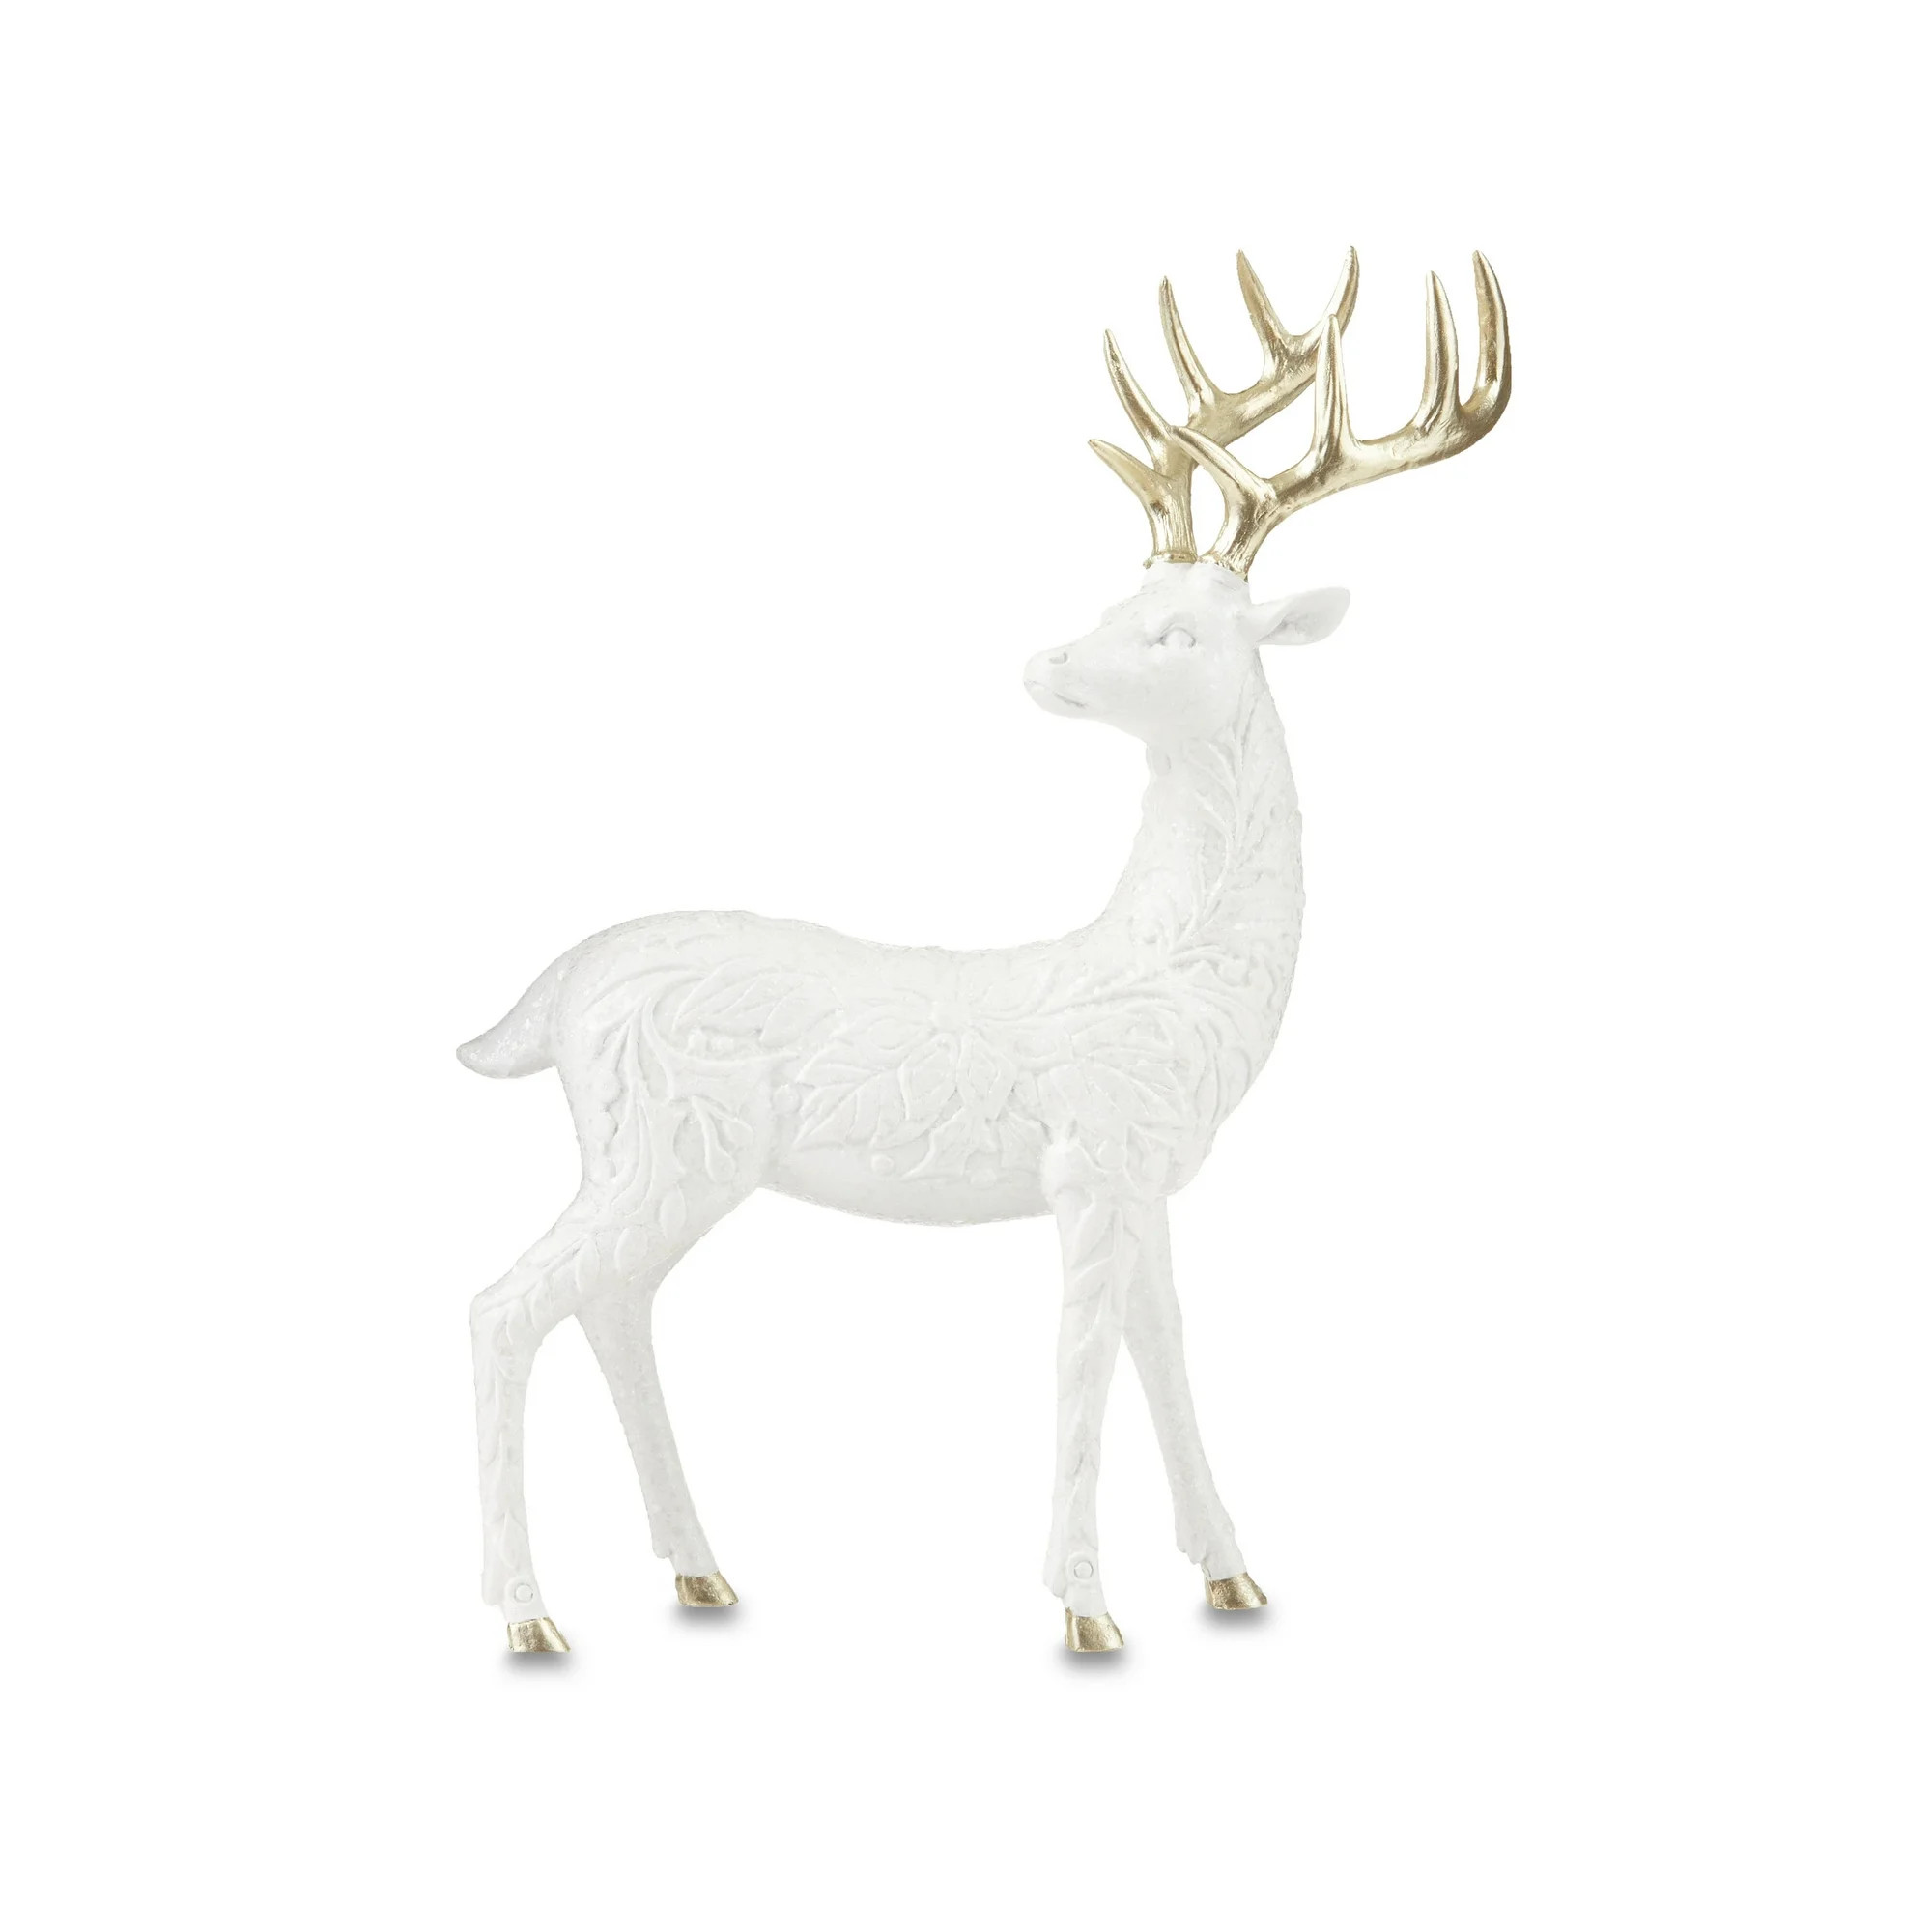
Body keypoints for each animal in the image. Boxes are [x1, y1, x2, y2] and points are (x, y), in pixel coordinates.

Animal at [462, 247, 1511, 1655]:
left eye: (1177, 629)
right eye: (1125, 595)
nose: (1044, 661)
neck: (1172, 973)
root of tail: (558, 988)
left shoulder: (1145, 1176)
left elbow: (1164, 1349)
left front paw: (1232, 1574)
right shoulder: (1088, 1160)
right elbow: (1082, 1366)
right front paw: (1084, 1606)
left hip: (661, 1152)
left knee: (610, 1305)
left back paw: (699, 1570)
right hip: (662, 1142)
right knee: (506, 1305)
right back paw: (531, 1617)